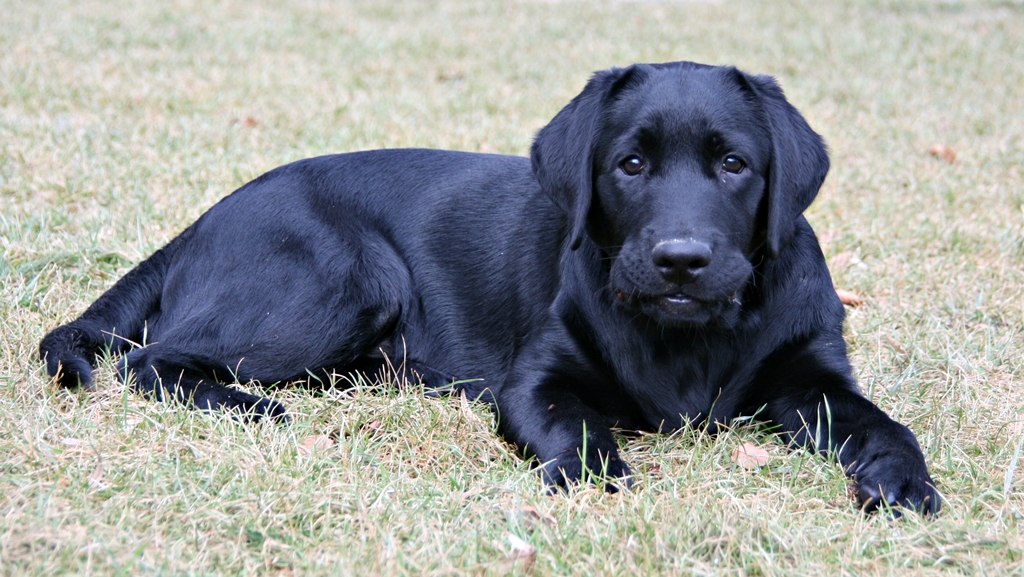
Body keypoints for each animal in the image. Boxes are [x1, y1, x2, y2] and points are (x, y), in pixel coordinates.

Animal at [39, 62, 937, 514]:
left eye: (734, 164)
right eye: (630, 163)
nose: (681, 259)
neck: (690, 336)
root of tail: (203, 217)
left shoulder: (814, 375)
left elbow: (885, 424)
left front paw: (903, 479)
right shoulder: (537, 378)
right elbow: (577, 429)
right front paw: (594, 481)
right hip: (347, 278)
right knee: (153, 360)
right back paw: (250, 405)